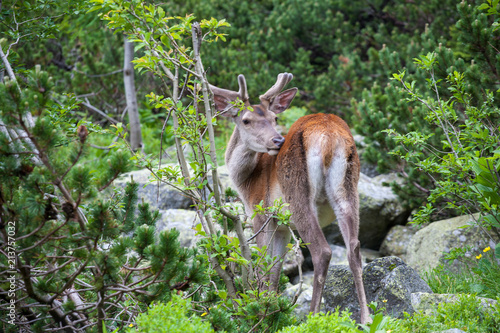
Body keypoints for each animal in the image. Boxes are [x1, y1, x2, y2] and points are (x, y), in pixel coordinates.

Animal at [209, 72, 370, 322]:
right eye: (246, 120)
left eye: (275, 118)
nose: (277, 140)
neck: (247, 181)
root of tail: (329, 136)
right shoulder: (282, 225)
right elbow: (275, 270)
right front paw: (271, 308)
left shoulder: (260, 213)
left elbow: (263, 265)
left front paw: (260, 310)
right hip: (348, 191)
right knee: (354, 249)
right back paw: (366, 318)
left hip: (297, 195)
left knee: (322, 251)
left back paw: (313, 316)